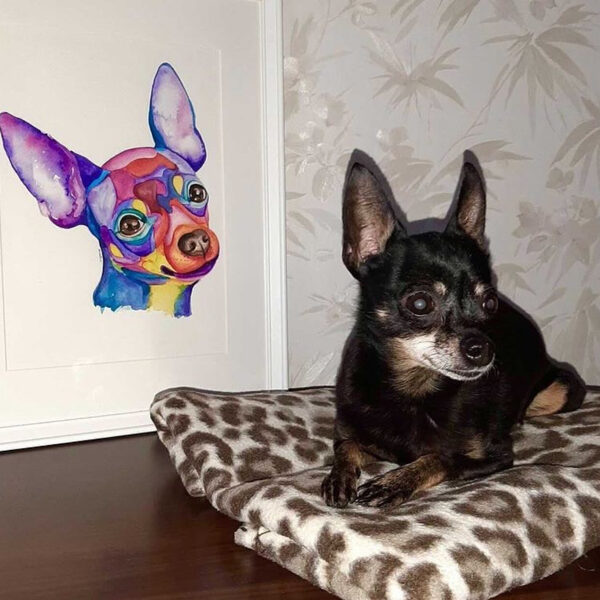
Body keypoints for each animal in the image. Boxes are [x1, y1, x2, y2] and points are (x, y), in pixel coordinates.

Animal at [322, 151, 586, 509]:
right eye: (420, 303)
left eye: (490, 303)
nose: (483, 350)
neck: (413, 389)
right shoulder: (351, 433)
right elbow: (345, 446)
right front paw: (339, 476)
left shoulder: (497, 457)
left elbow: (442, 458)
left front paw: (396, 482)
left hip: (564, 389)